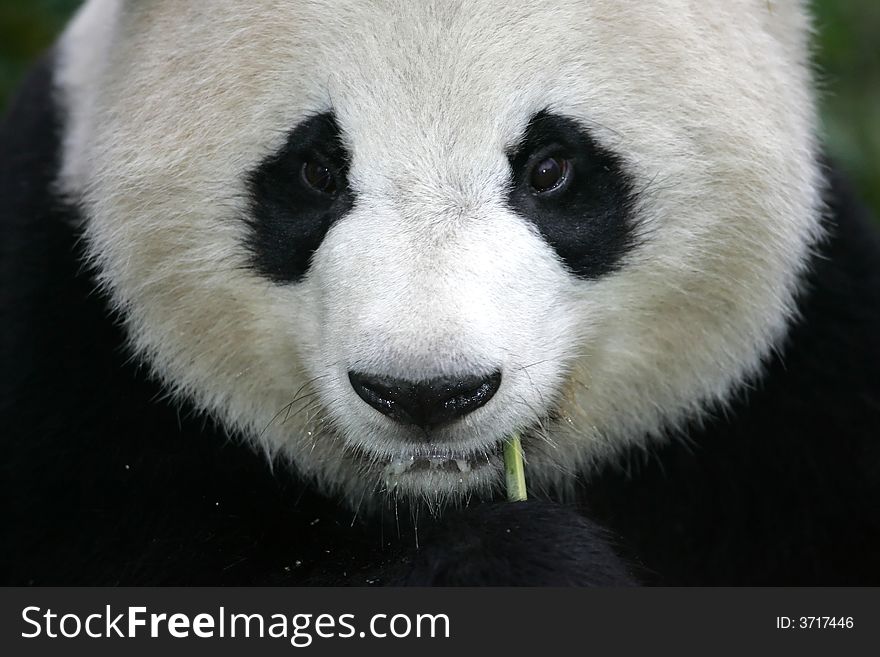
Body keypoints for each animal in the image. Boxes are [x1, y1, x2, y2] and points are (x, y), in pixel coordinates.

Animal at [1, 0, 880, 584]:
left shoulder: (800, 413)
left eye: (550, 167)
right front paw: (522, 567)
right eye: (317, 170)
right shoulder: (67, 384)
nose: (425, 392)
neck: (439, 496)